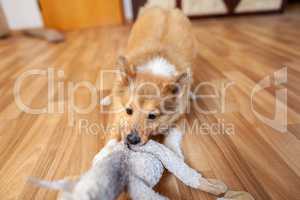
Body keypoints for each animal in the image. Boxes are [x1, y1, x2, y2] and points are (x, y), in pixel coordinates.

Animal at [94, 6, 197, 162]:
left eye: (152, 116)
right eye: (129, 111)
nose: (131, 140)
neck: (154, 71)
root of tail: (166, 8)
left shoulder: (179, 118)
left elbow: (171, 139)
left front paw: (174, 155)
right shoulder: (117, 113)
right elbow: (113, 134)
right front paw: (103, 154)